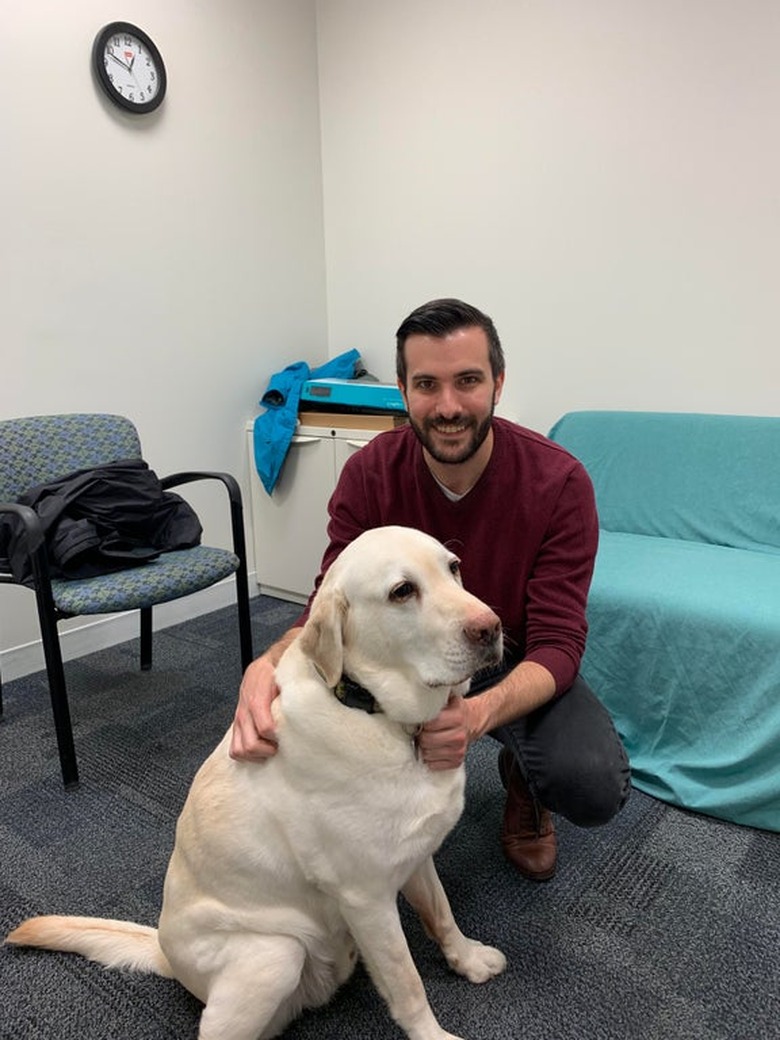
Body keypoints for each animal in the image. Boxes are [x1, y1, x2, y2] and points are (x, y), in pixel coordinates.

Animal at [7, 528, 507, 1040]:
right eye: (402, 591)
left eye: (453, 567)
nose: (491, 627)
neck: (381, 716)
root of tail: (166, 953)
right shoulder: (366, 897)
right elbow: (406, 982)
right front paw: (434, 1034)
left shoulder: (414, 856)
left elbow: (442, 915)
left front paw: (468, 960)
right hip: (275, 954)